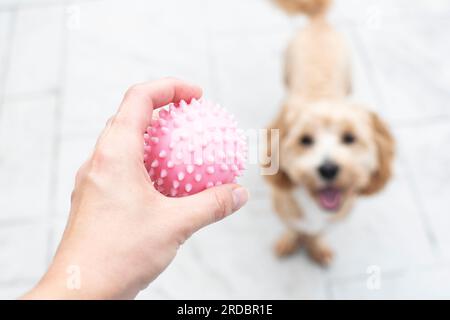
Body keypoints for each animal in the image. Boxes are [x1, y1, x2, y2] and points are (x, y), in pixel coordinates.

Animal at [266, 0, 396, 264]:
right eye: (305, 140)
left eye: (350, 138)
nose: (328, 169)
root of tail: (319, 22)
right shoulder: (284, 208)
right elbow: (293, 227)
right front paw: (290, 240)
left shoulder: (336, 218)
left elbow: (317, 233)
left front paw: (316, 246)